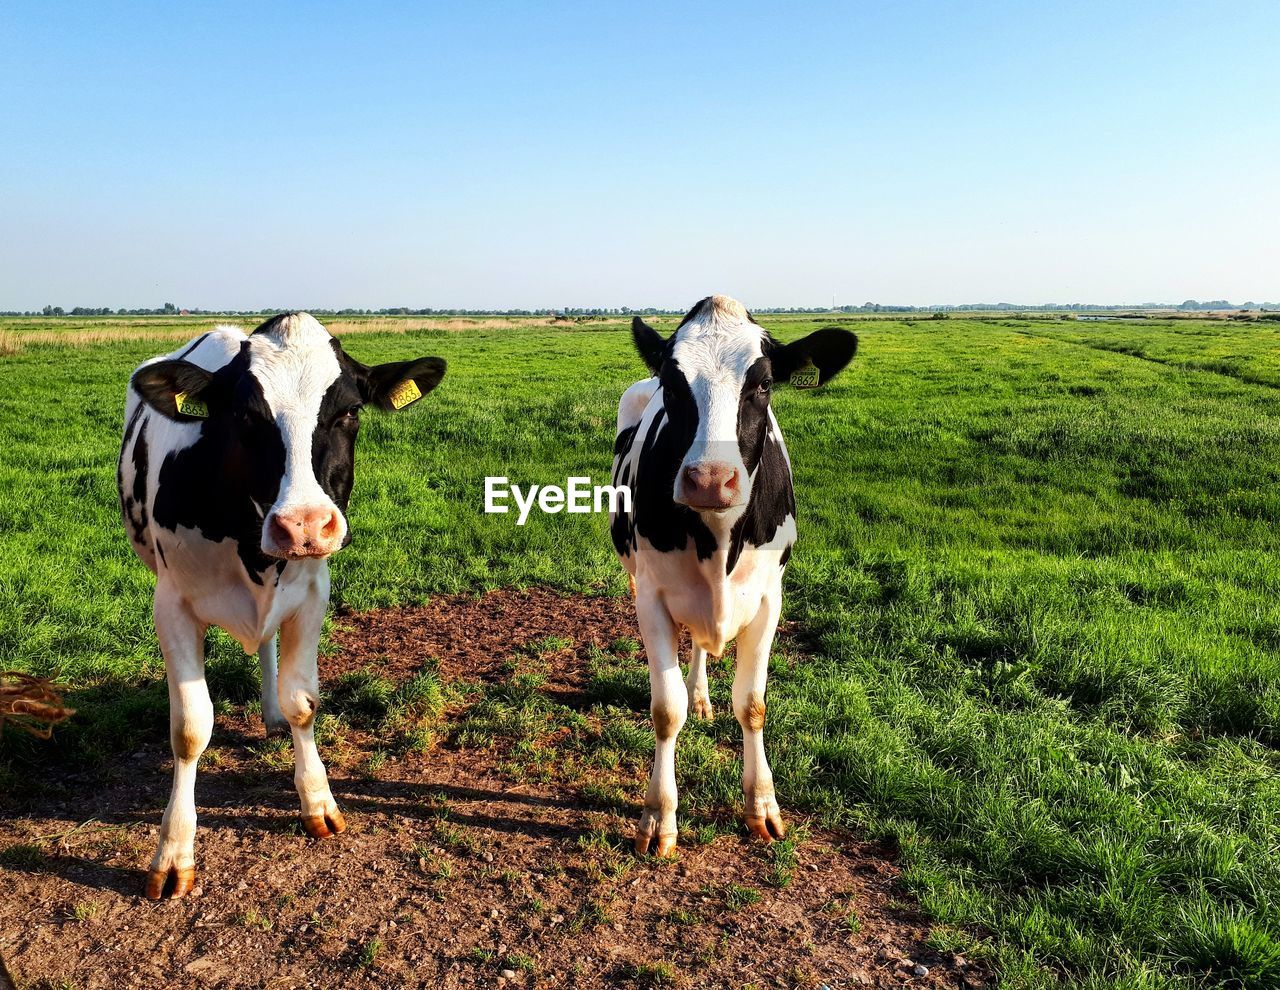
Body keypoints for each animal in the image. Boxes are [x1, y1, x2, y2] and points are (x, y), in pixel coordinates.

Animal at [117, 312, 445, 901]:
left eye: (348, 411)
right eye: (245, 416)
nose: (304, 525)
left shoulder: (313, 593)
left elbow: (303, 703)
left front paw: (318, 801)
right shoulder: (171, 605)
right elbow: (189, 729)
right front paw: (173, 852)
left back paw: (269, 715)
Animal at [611, 295, 860, 855]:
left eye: (763, 384)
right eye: (672, 382)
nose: (709, 480)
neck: (720, 538)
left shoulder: (770, 599)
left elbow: (752, 704)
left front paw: (762, 805)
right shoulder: (652, 597)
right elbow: (667, 710)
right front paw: (659, 816)